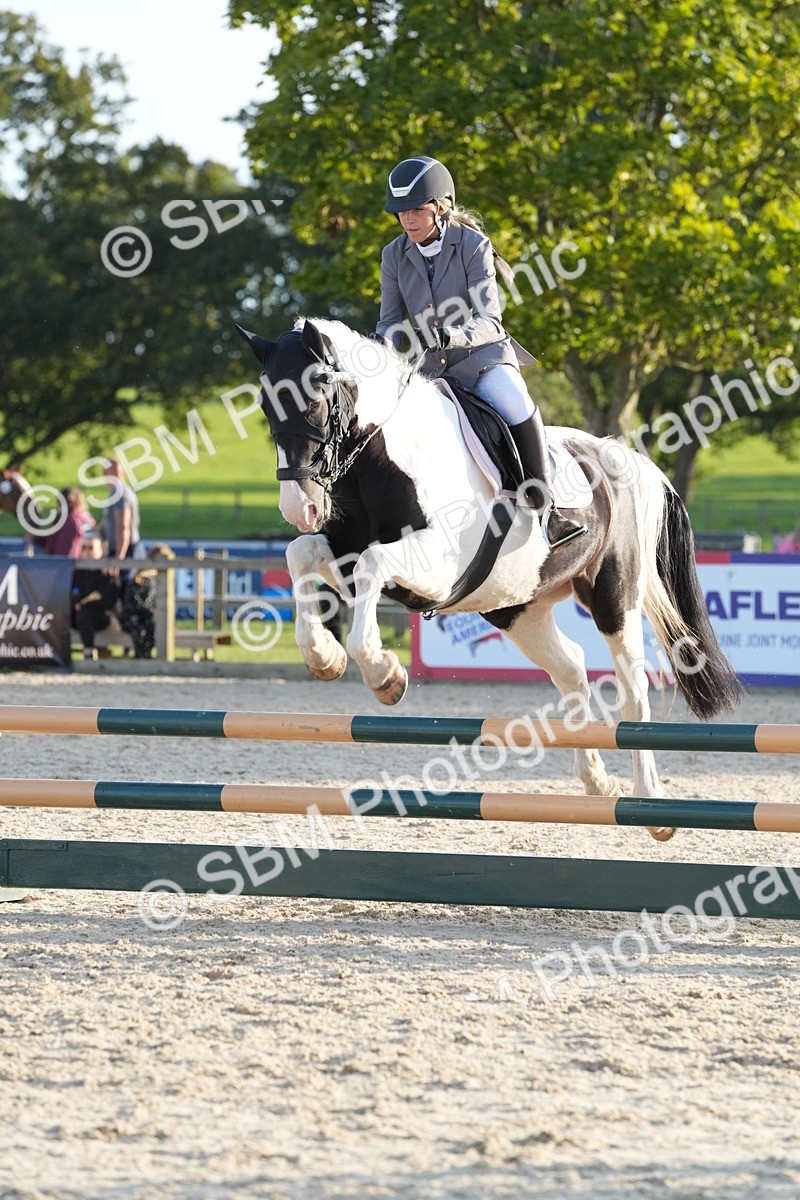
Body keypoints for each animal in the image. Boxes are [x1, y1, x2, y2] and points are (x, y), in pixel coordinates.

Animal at [239, 317, 743, 838]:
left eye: (315, 398)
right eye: (265, 406)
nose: (299, 509)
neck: (384, 460)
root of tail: (619, 453)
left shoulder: (436, 567)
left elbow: (372, 564)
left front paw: (384, 674)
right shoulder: (343, 554)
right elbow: (301, 555)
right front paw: (325, 657)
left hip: (612, 598)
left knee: (634, 695)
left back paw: (650, 803)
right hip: (517, 610)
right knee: (572, 668)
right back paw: (598, 782)